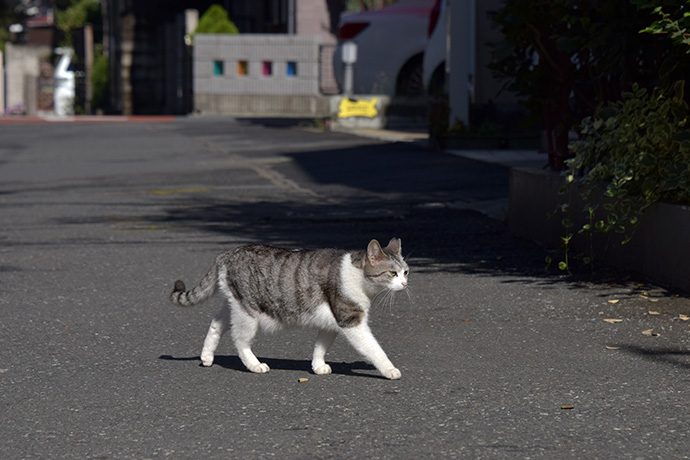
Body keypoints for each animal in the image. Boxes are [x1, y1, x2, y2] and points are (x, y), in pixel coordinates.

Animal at [171, 239, 408, 380]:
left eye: (405, 272)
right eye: (392, 274)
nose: (405, 283)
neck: (359, 277)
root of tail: (227, 254)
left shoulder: (331, 322)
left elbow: (320, 346)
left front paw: (318, 366)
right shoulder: (351, 321)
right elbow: (374, 349)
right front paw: (390, 369)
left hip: (236, 306)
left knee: (216, 323)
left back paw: (207, 357)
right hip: (249, 315)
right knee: (240, 342)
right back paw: (254, 364)